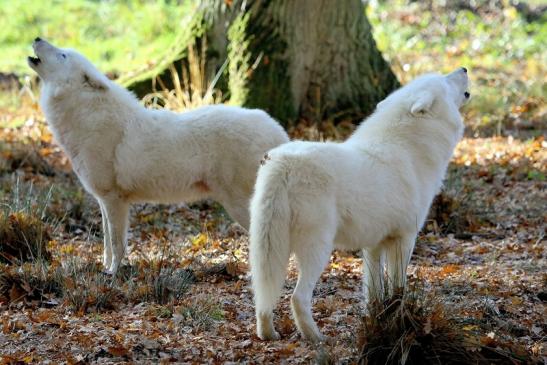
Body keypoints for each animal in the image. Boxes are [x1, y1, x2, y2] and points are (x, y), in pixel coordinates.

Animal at [27, 38, 288, 274]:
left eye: (62, 55)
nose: (37, 38)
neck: (87, 115)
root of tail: (278, 132)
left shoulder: (114, 200)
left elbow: (117, 244)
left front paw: (112, 274)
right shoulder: (103, 200)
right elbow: (107, 244)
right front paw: (105, 268)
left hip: (240, 206)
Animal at [250, 68, 468, 342]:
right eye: (445, 81)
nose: (464, 69)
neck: (410, 150)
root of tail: (283, 163)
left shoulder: (374, 246)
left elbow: (374, 291)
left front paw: (377, 322)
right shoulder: (405, 239)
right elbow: (398, 287)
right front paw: (399, 320)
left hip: (268, 250)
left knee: (263, 297)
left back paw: (268, 334)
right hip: (317, 250)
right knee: (297, 298)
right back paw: (317, 338)